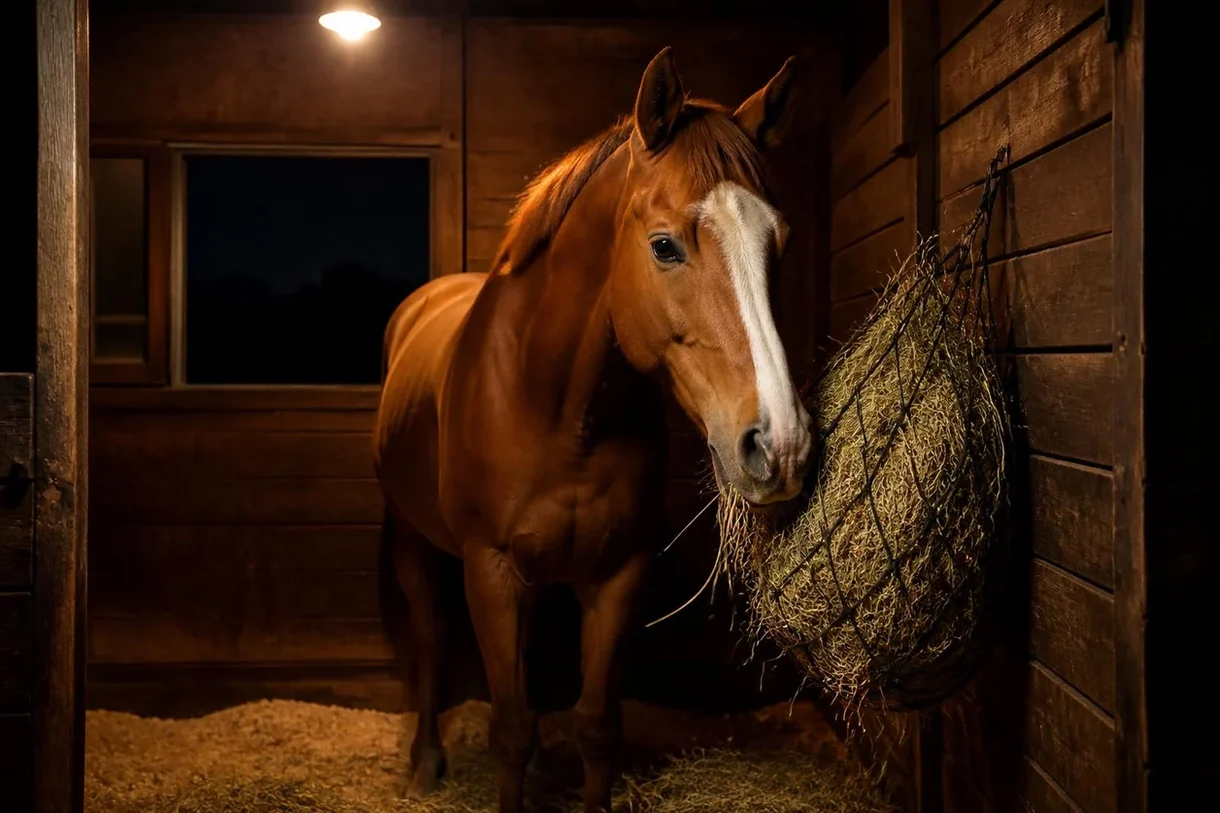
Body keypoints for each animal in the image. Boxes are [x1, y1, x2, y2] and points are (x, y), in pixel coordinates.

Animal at [373, 47, 814, 813]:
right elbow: (511, 731)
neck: (555, 406)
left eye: (778, 242)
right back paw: (425, 761)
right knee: (428, 636)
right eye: (665, 247)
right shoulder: (491, 572)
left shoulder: (617, 575)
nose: (780, 444)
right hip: (413, 540)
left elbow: (597, 725)